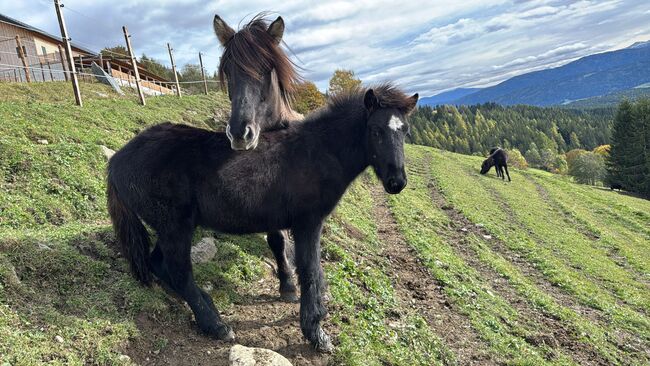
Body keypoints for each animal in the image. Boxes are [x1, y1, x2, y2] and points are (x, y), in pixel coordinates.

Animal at [107, 83, 416, 352]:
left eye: (405, 131)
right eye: (375, 130)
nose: (396, 182)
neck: (317, 152)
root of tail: (117, 159)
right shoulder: (308, 223)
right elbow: (311, 271)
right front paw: (316, 333)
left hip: (170, 227)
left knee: (158, 263)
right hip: (175, 226)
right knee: (179, 271)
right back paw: (215, 325)